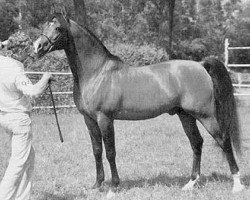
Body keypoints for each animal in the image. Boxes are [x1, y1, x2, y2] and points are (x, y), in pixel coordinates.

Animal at [32, 10, 244, 193]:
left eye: (58, 28)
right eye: (44, 25)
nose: (37, 47)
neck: (97, 72)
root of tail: (200, 65)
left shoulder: (105, 118)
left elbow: (110, 152)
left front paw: (113, 187)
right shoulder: (89, 120)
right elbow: (97, 150)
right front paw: (97, 185)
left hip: (206, 115)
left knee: (224, 141)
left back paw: (237, 185)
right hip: (185, 115)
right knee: (197, 143)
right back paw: (190, 183)